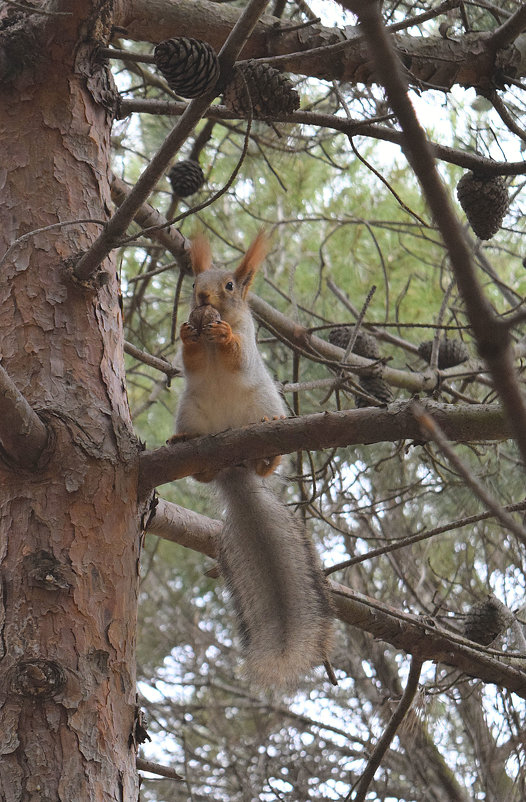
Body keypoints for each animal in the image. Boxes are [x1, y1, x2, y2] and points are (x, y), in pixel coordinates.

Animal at [176, 231, 334, 688]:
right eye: (195, 283)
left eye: (229, 285)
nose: (203, 298)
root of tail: (234, 464)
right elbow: (190, 359)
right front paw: (187, 333)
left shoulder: (248, 340)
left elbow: (237, 354)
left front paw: (223, 334)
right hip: (190, 411)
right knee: (203, 469)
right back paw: (191, 447)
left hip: (265, 402)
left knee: (267, 456)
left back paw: (267, 456)